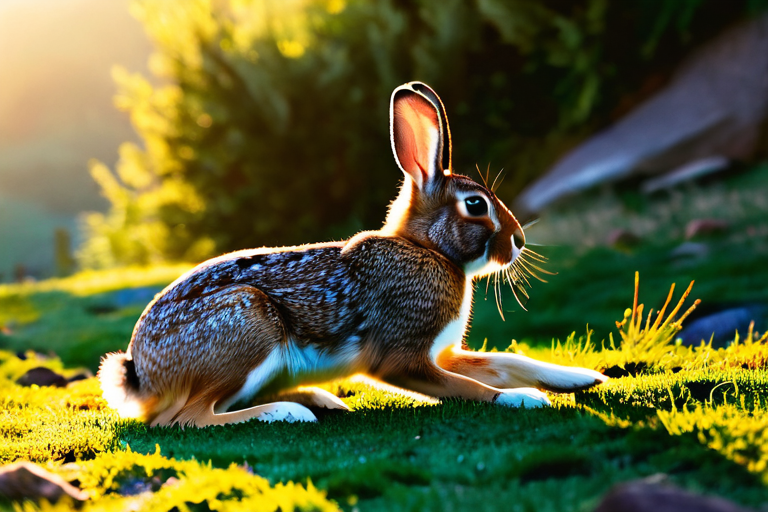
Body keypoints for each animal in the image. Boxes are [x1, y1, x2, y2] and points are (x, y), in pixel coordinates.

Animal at [98, 81, 607, 427]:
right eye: (476, 205)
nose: (518, 240)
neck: (427, 250)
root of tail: (141, 370)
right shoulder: (403, 358)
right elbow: (470, 387)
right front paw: (524, 399)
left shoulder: (442, 353)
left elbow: (507, 362)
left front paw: (582, 378)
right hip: (249, 325)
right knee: (186, 418)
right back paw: (287, 412)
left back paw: (319, 400)